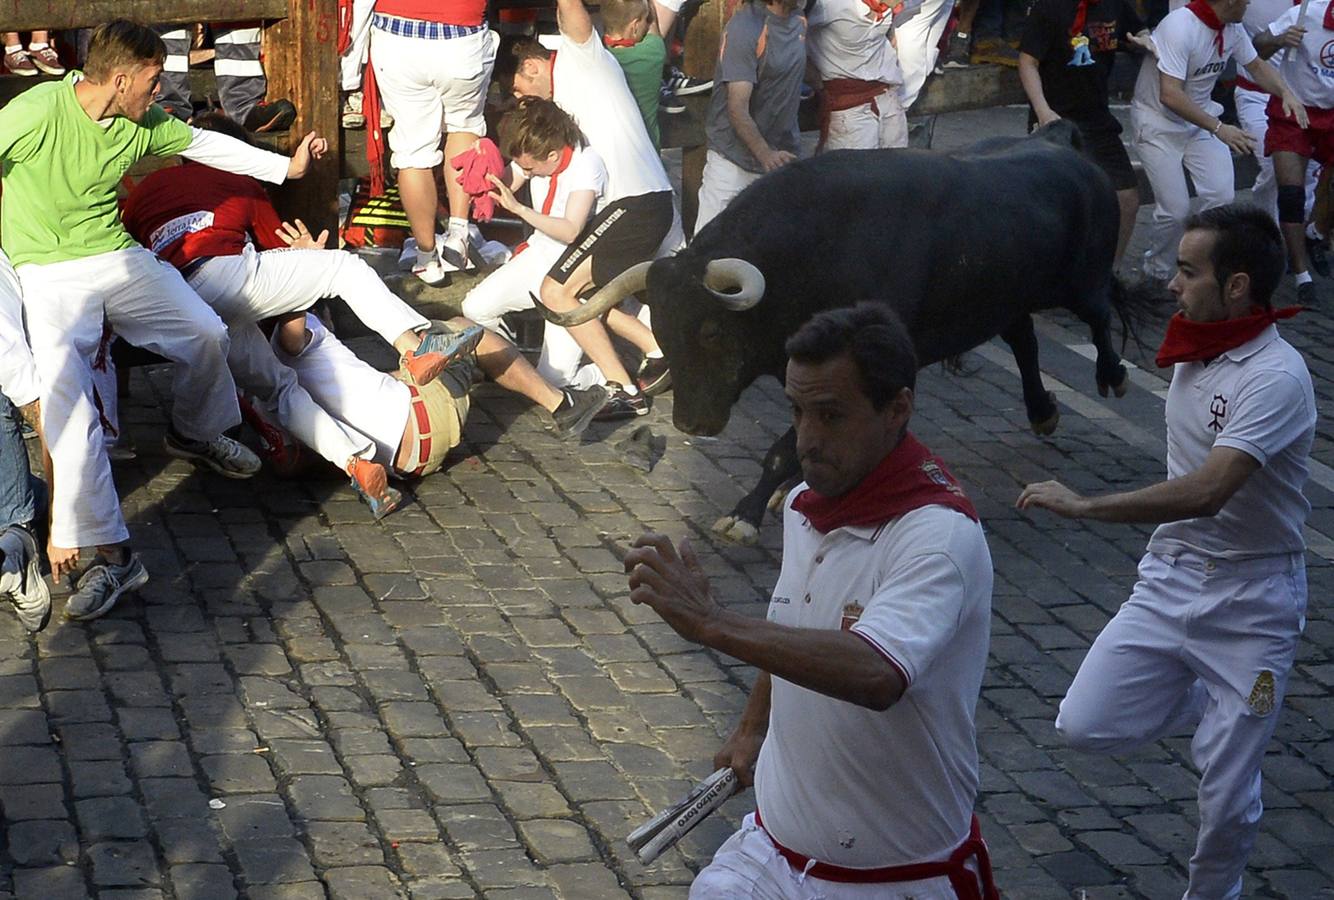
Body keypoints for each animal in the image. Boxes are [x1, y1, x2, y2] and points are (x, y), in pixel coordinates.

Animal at [530, 123, 1157, 546]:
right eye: (661, 327)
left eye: (710, 330)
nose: (692, 424)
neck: (819, 246)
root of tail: (1062, 146)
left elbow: (783, 450)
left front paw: (746, 513)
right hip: (1005, 299)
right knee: (1026, 340)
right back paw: (1043, 411)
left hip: (1076, 282)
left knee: (1100, 312)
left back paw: (1113, 377)